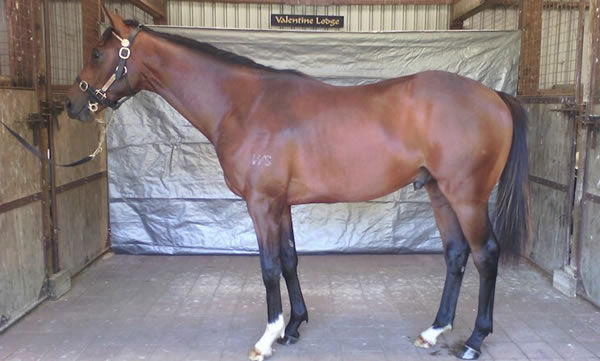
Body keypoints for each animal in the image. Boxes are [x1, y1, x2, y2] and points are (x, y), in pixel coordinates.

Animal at [67, 4, 528, 358]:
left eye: (97, 52)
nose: (73, 104)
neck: (244, 104)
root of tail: (493, 96)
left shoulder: (261, 203)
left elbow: (269, 266)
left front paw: (267, 337)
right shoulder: (281, 204)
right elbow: (289, 259)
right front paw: (293, 327)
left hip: (467, 197)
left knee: (485, 254)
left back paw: (473, 340)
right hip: (439, 192)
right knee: (455, 254)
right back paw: (434, 331)